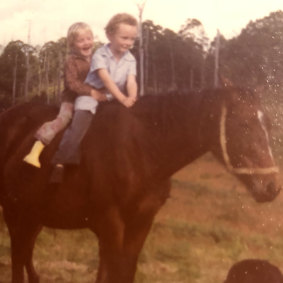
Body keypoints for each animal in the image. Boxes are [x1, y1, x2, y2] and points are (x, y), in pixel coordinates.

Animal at [0, 87, 280, 282]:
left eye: (268, 124)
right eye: (243, 124)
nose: (272, 186)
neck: (142, 148)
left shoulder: (142, 223)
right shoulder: (111, 224)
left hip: (32, 217)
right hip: (15, 214)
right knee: (17, 260)